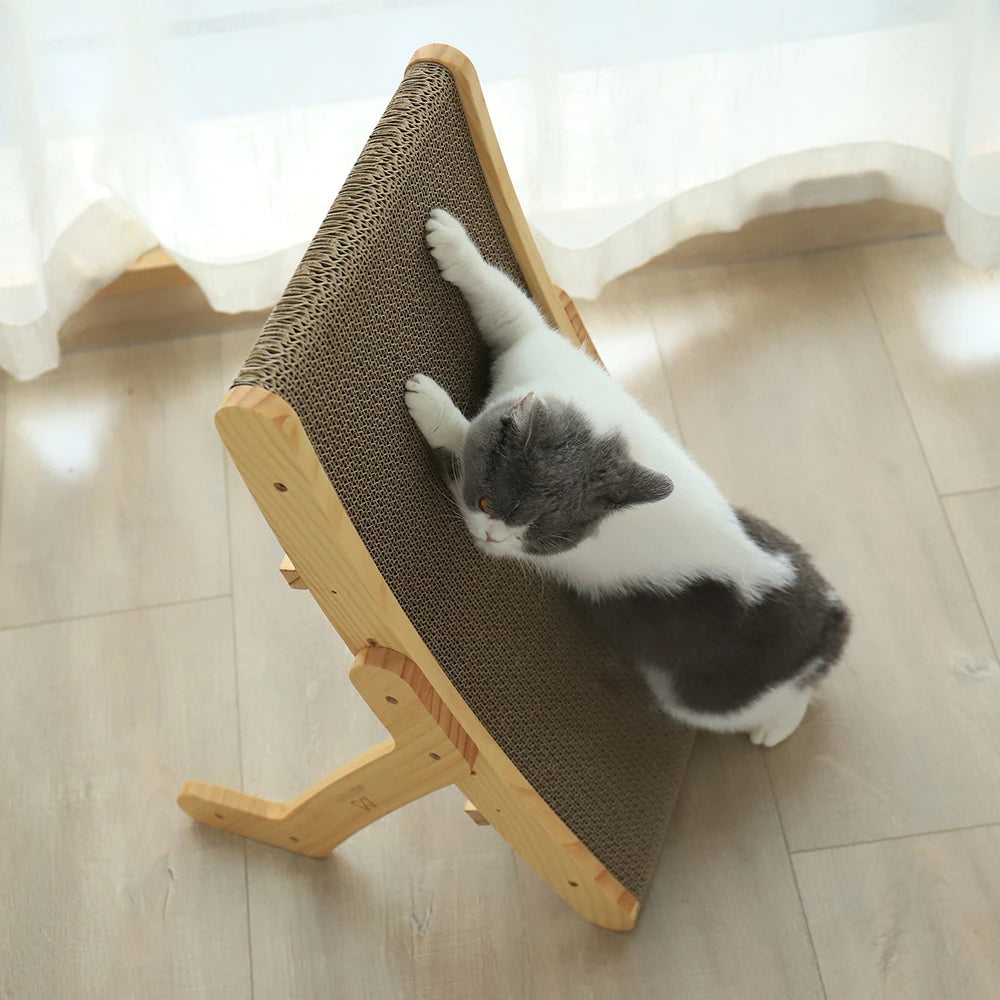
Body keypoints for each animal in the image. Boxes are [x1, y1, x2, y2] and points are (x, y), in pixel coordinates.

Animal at [402, 207, 848, 748]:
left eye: (541, 539)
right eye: (490, 505)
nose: (491, 539)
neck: (601, 431)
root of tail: (830, 618)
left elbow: (458, 442)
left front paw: (431, 403)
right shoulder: (535, 349)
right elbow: (505, 301)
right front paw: (451, 241)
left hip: (708, 697)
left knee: (786, 698)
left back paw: (777, 727)